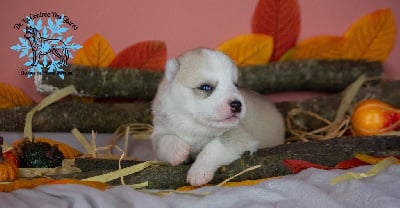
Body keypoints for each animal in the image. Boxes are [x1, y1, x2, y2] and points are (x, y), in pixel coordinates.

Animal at [150, 48, 284, 186]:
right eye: (205, 87)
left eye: (235, 85)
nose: (237, 105)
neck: (194, 124)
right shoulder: (160, 130)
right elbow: (164, 140)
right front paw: (177, 150)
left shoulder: (238, 134)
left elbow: (214, 146)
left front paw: (199, 171)